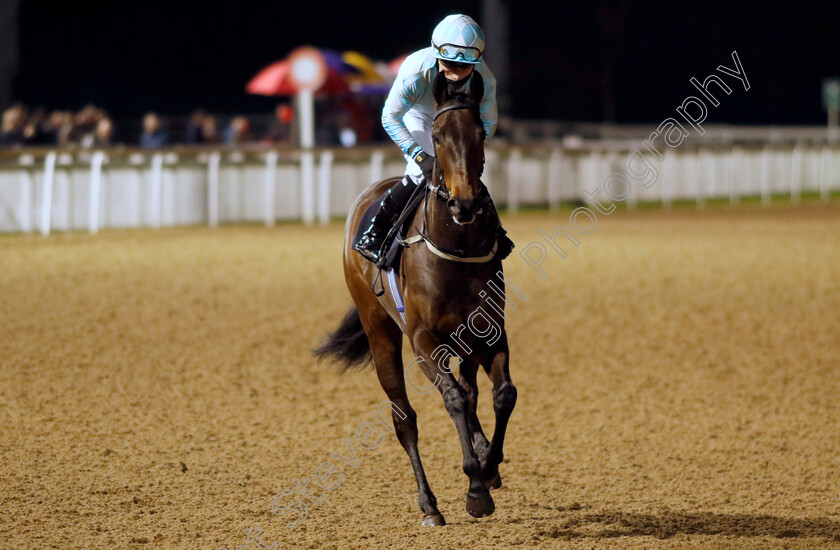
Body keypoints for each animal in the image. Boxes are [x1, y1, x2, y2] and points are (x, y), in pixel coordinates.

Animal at [314, 71, 516, 528]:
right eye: (438, 136)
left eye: (480, 133)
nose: (464, 202)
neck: (455, 249)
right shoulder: (424, 341)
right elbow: (453, 399)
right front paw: (475, 490)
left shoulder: (490, 333)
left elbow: (502, 395)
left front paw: (489, 465)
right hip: (380, 333)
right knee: (405, 419)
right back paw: (430, 505)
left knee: (472, 391)